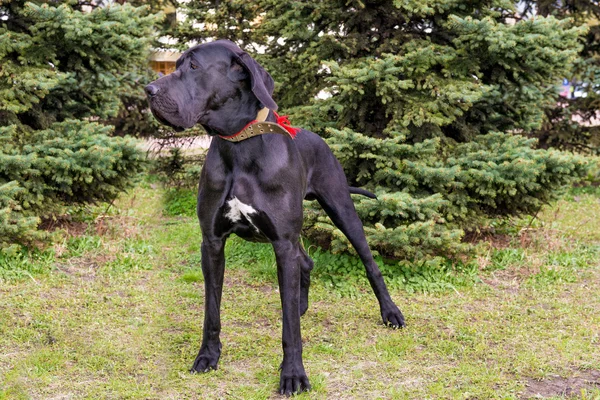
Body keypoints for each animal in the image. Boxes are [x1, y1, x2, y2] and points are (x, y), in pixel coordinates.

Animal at [147, 39, 406, 396]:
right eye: (177, 65)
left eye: (195, 66)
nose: (148, 90)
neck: (238, 146)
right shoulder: (212, 242)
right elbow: (211, 312)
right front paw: (208, 356)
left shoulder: (282, 242)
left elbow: (290, 330)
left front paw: (293, 374)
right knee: (306, 262)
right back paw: (300, 304)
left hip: (341, 208)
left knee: (370, 263)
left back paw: (390, 312)